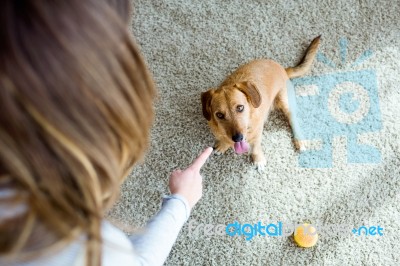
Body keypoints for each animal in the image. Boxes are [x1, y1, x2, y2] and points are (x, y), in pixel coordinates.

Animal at [202, 35, 320, 170]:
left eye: (240, 108)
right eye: (219, 115)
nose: (237, 138)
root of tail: (283, 69)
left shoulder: (257, 133)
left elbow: (255, 147)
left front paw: (258, 159)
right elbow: (224, 139)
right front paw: (223, 145)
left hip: (285, 102)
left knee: (293, 120)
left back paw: (299, 141)